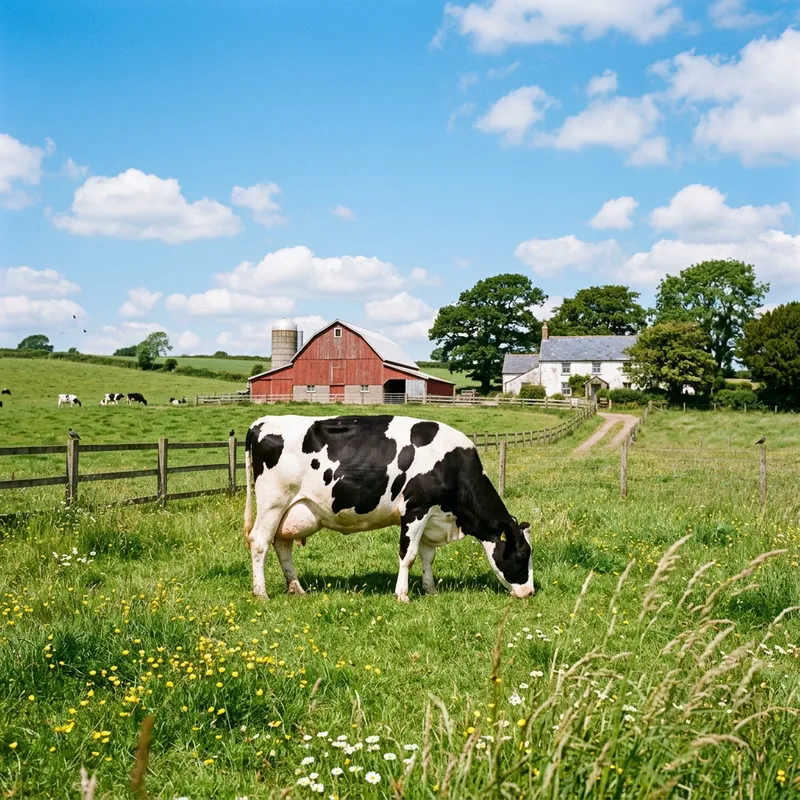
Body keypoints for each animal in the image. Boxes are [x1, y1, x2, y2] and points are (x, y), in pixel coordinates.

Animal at [243, 414, 534, 603]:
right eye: (523, 556)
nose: (530, 592)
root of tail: (261, 422)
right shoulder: (415, 509)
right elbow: (409, 555)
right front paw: (402, 595)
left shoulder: (432, 515)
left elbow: (428, 556)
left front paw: (430, 590)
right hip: (273, 501)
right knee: (259, 542)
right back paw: (261, 593)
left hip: (290, 509)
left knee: (282, 544)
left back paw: (297, 589)